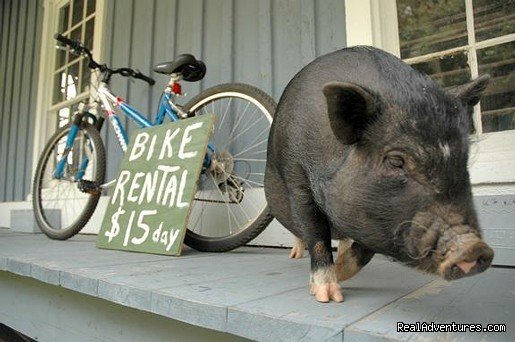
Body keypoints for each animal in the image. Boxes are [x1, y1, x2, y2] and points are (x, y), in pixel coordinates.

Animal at [266, 44, 496, 302]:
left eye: (463, 160)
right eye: (396, 161)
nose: (473, 247)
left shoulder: (378, 216)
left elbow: (365, 250)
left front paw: (341, 272)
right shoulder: (298, 179)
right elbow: (316, 234)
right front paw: (329, 296)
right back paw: (295, 255)